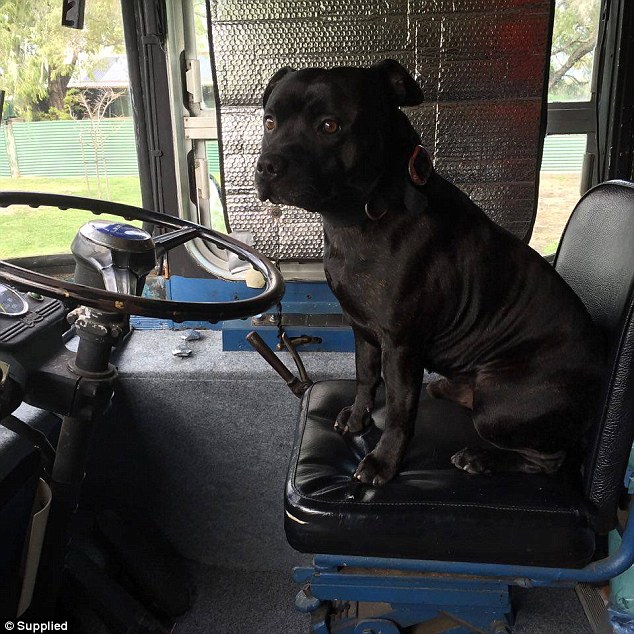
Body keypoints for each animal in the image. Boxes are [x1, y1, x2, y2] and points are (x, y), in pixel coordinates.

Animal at [254, 59, 600, 484]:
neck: (362, 214)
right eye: (270, 121)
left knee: (548, 459)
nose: (266, 165)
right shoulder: (363, 330)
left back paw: (480, 458)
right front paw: (357, 419)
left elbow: (400, 411)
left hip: (499, 405)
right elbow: (365, 377)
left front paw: (383, 462)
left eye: (329, 126)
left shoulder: (402, 346)